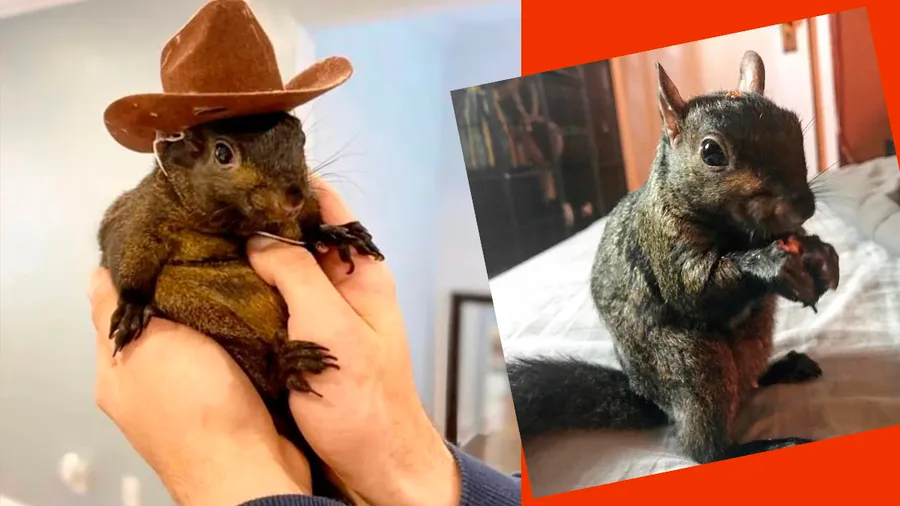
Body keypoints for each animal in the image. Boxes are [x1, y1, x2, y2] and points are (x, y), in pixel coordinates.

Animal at [506, 50, 841, 465]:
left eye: (795, 126)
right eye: (711, 152)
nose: (801, 207)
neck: (736, 231)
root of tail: (652, 399)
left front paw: (820, 255)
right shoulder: (663, 239)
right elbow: (694, 290)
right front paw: (771, 264)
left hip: (754, 339)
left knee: (748, 382)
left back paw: (783, 368)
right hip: (690, 361)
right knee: (704, 448)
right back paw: (765, 445)